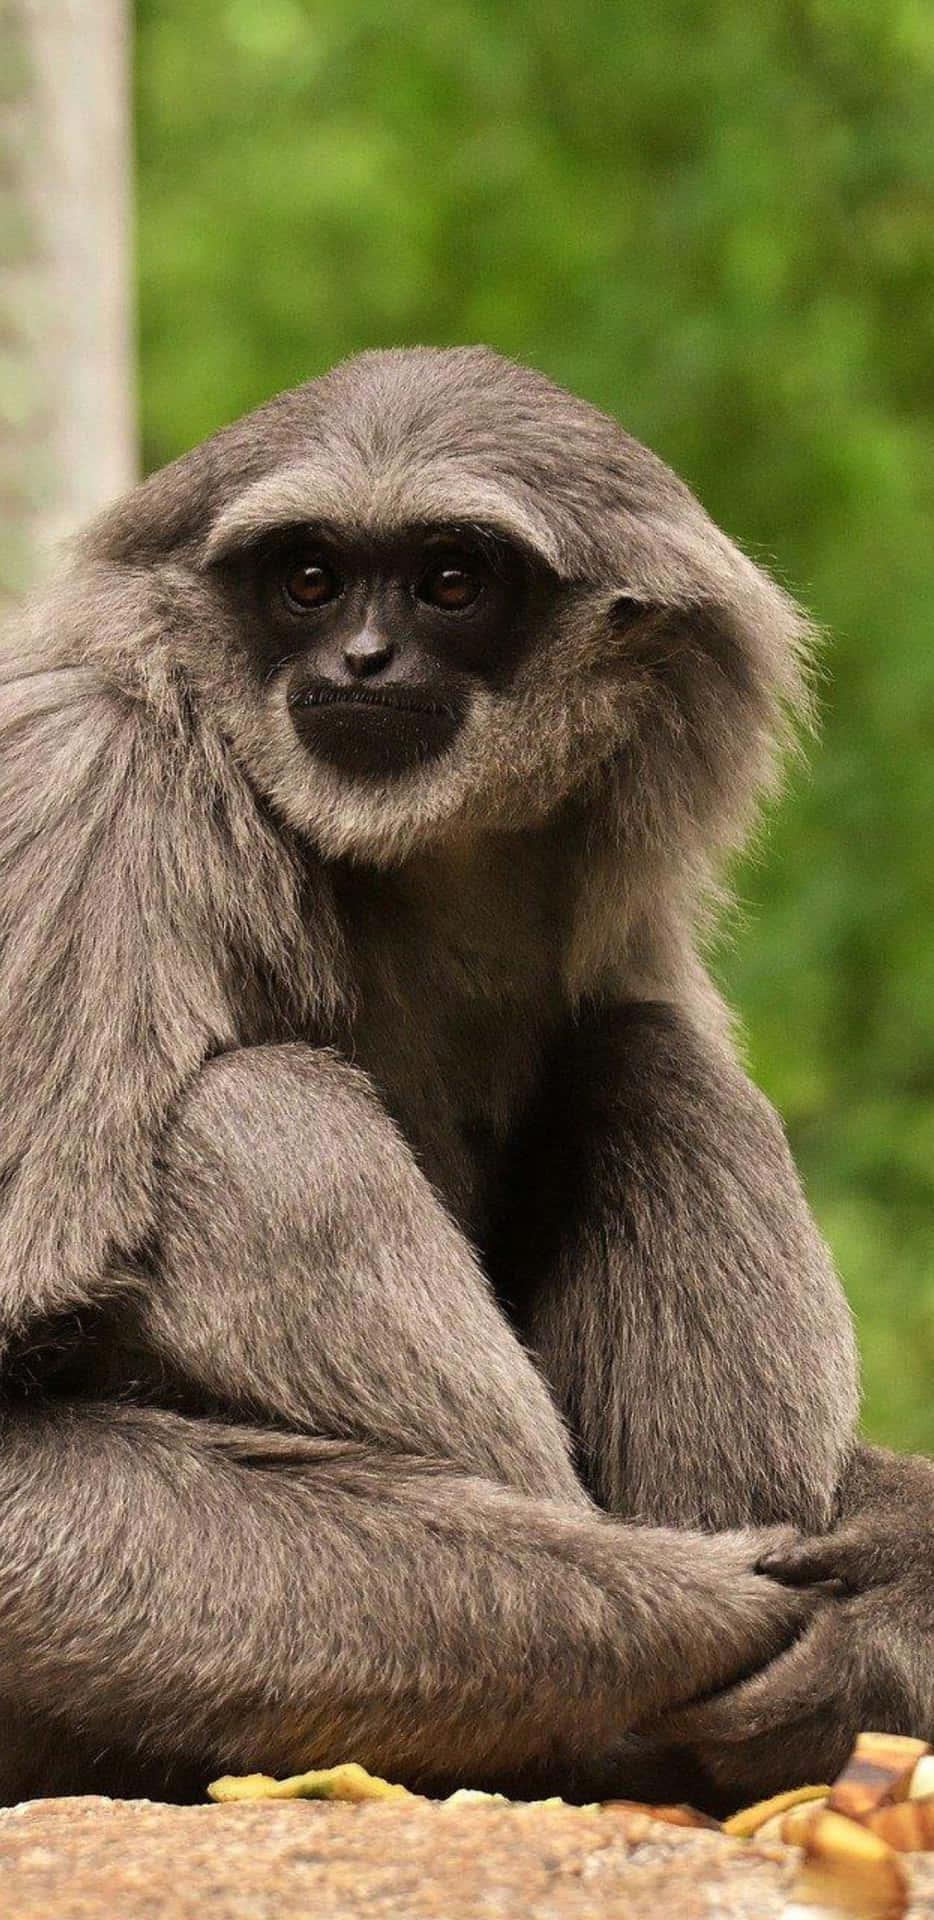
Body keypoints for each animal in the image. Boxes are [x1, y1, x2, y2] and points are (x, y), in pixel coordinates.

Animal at [0, 346, 931, 1813]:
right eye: (309, 579)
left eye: (450, 582)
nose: (360, 655)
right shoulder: (73, 791)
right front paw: (790, 1619)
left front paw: (873, 1610)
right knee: (260, 1115)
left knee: (645, 1060)